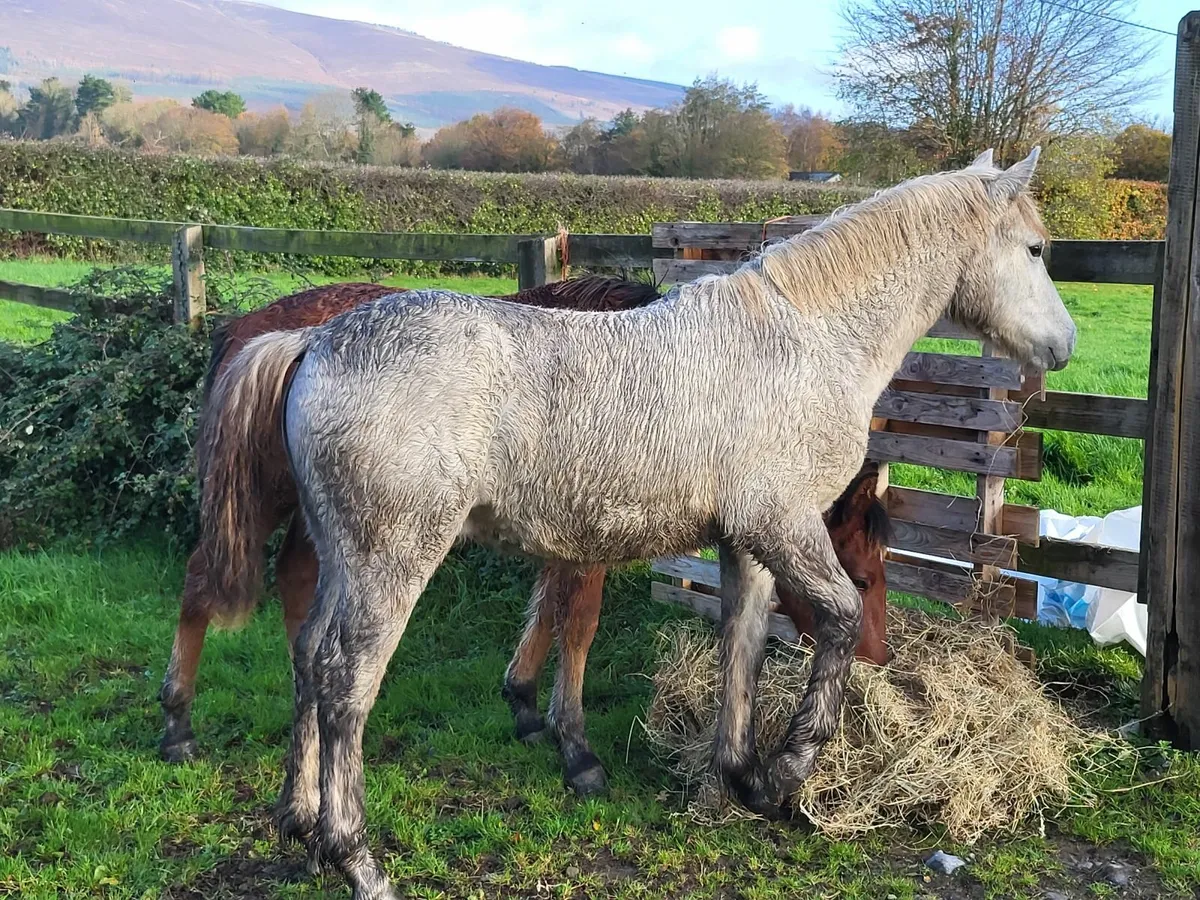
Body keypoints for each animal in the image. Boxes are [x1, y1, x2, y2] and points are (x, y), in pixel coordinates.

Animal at [161, 278, 893, 788]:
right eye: (861, 576)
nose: (877, 657)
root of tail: (260, 332)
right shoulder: (591, 538)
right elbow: (579, 623)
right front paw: (577, 751)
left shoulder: (565, 531)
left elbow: (547, 609)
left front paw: (524, 705)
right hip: (268, 499)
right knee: (204, 578)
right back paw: (178, 725)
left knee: (295, 585)